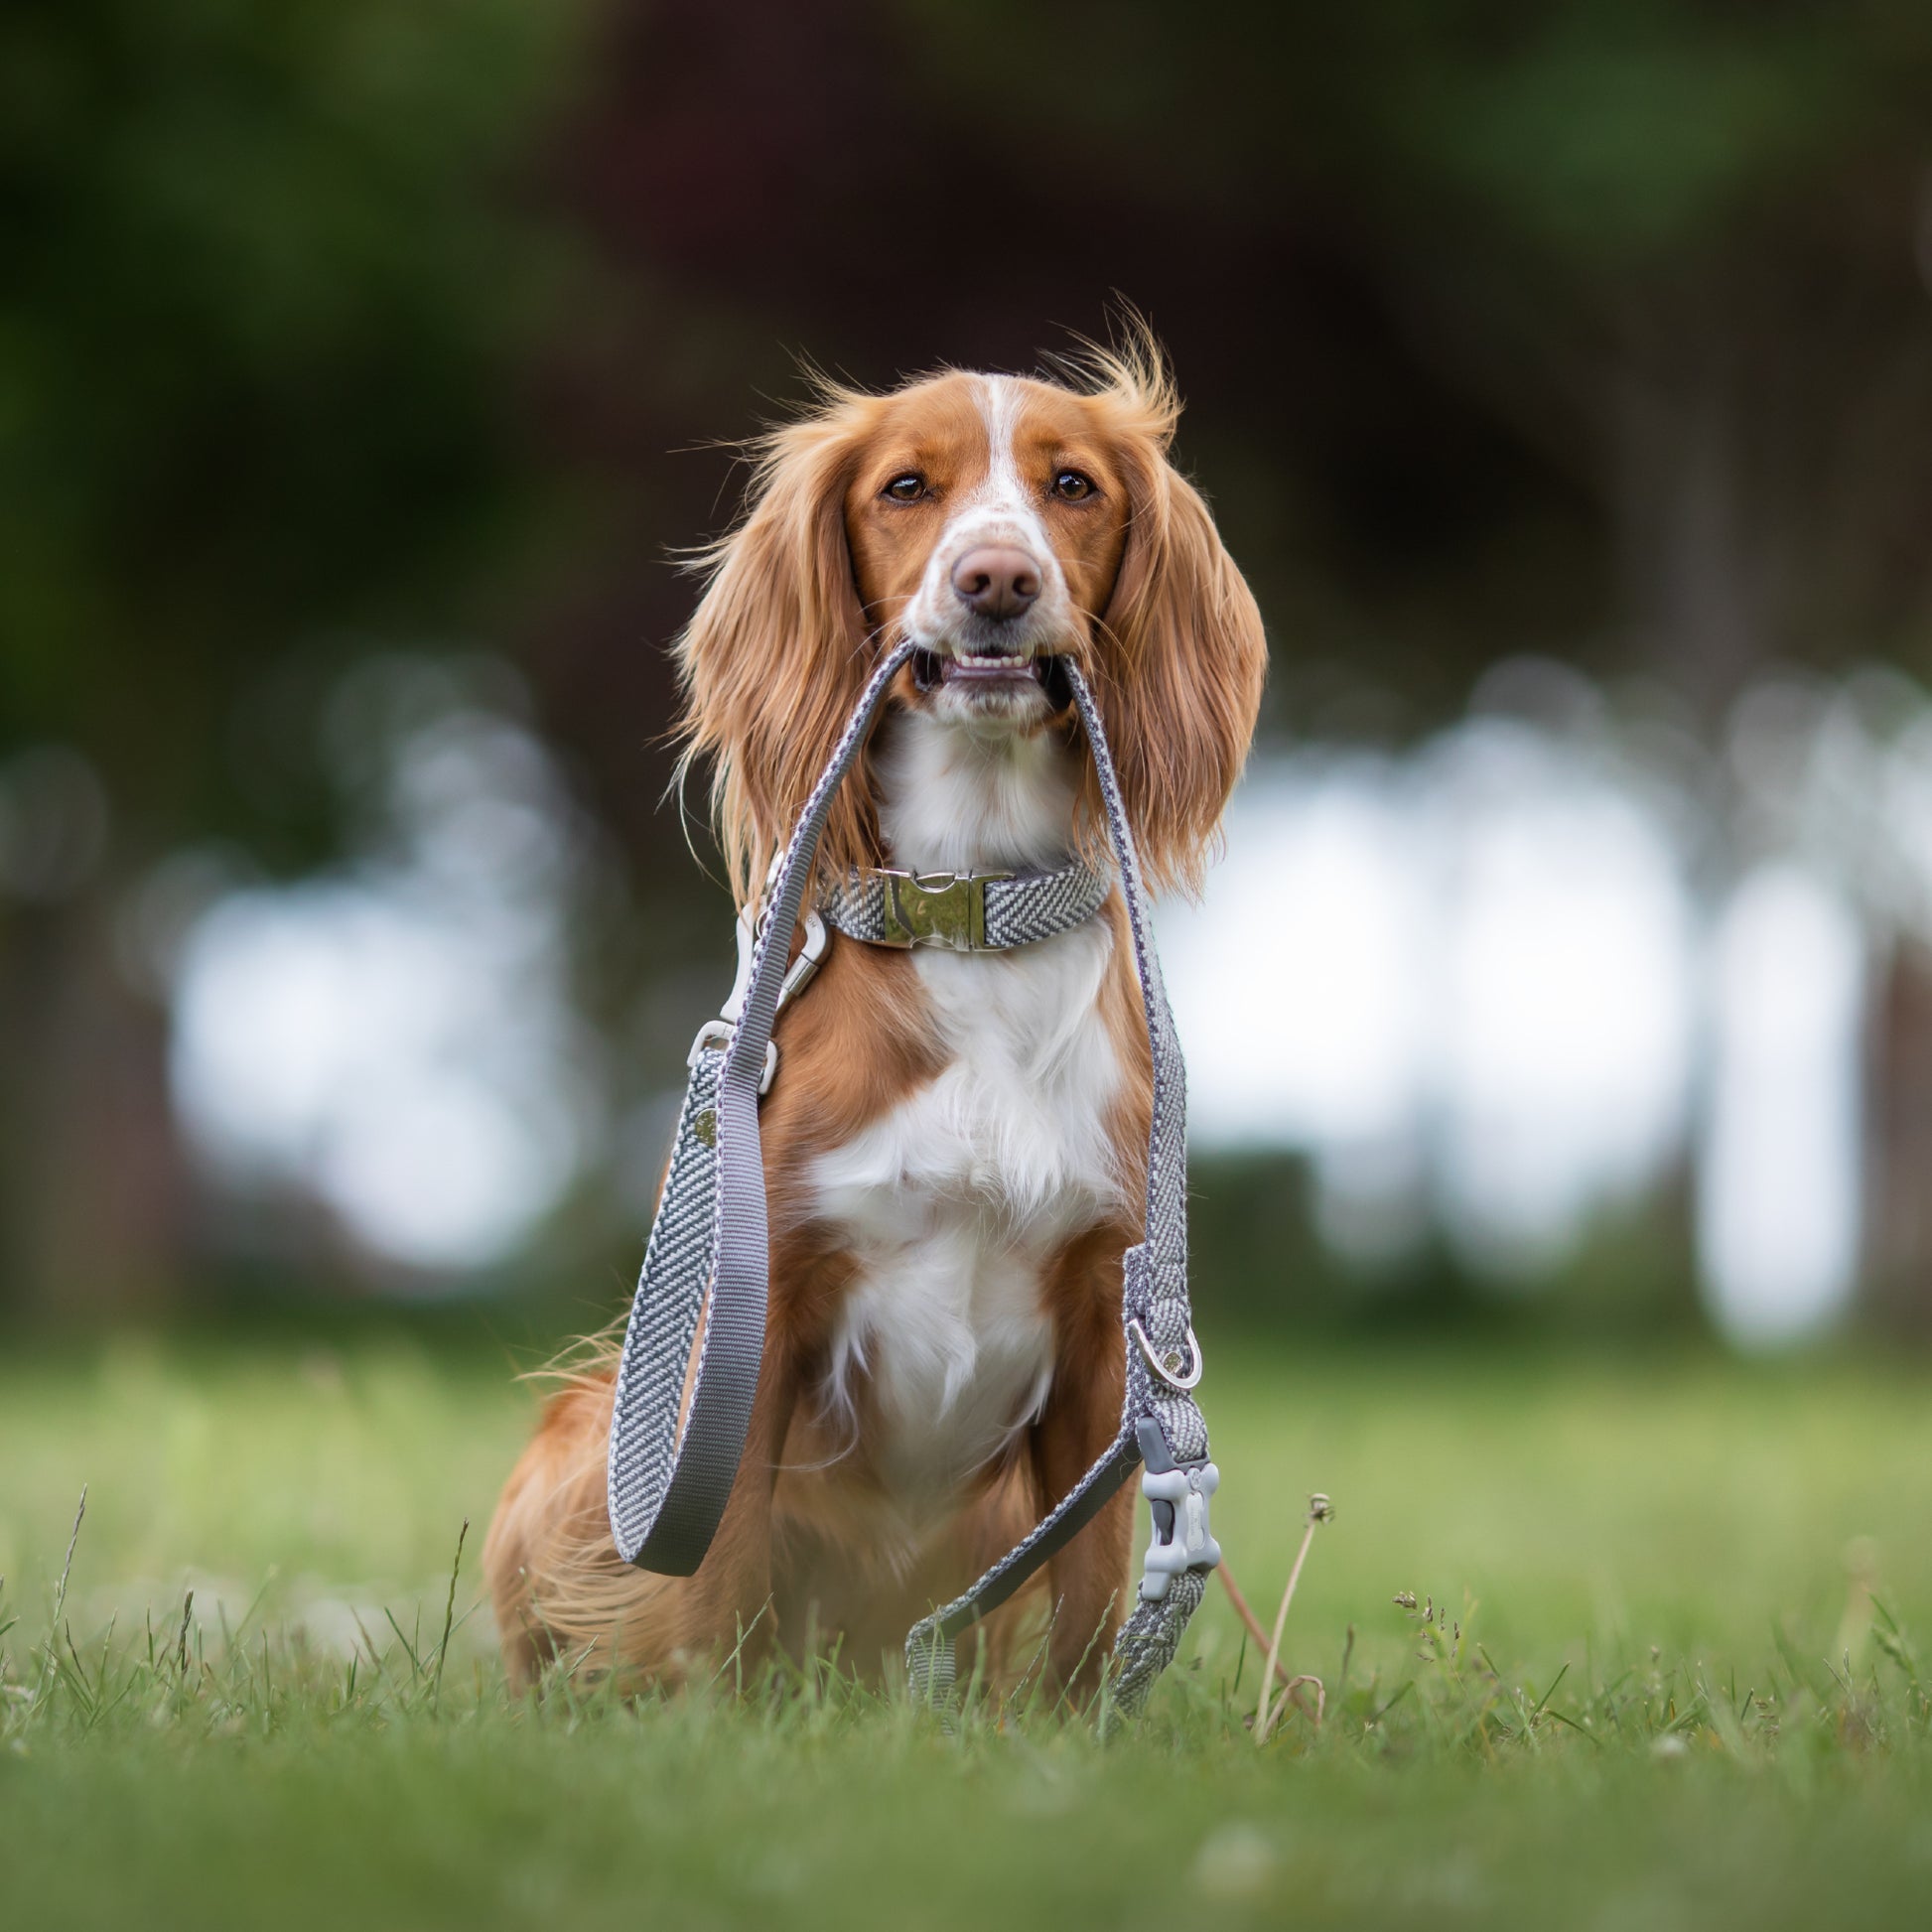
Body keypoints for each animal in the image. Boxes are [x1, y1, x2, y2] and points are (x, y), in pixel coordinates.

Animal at [483, 332, 1267, 1708]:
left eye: (1073, 486)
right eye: (905, 487)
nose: (996, 577)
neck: (971, 911)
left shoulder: (1108, 1336)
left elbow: (1089, 1591)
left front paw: (1076, 1738)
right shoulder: (761, 1313)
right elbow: (717, 1570)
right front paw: (716, 1728)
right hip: (579, 1434)